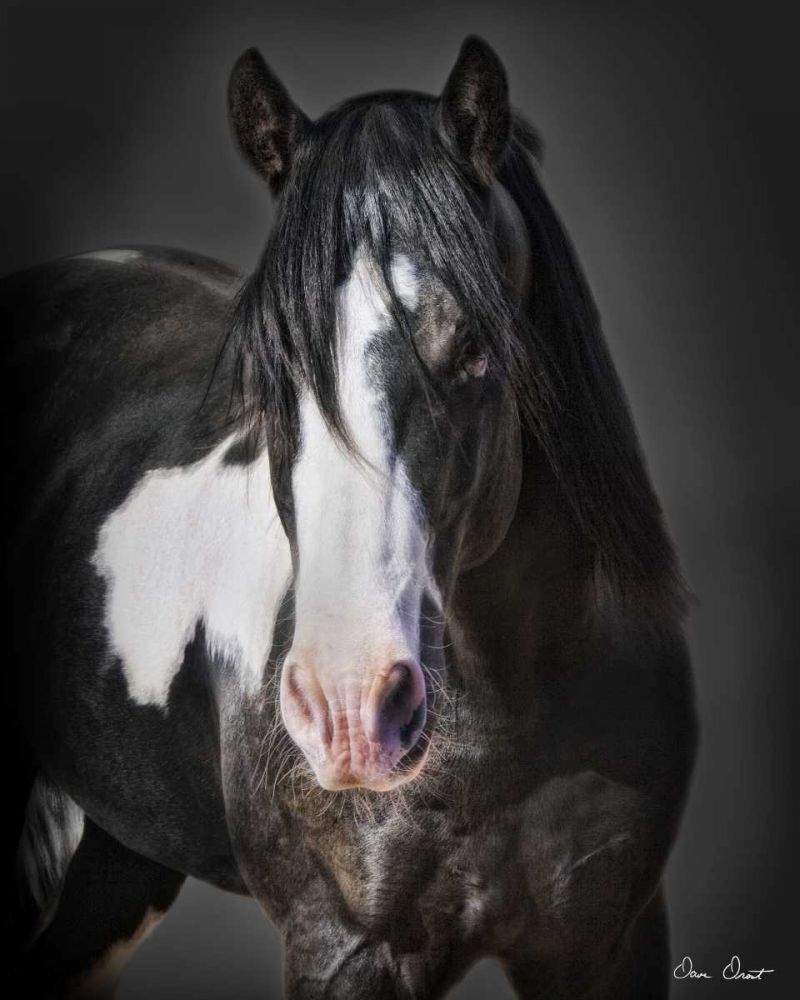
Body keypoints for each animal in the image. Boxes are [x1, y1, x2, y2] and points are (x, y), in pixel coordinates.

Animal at [2, 35, 697, 999]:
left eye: (475, 347)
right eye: (270, 358)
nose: (349, 709)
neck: (515, 718)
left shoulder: (609, 942)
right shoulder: (347, 951)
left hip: (119, 853)